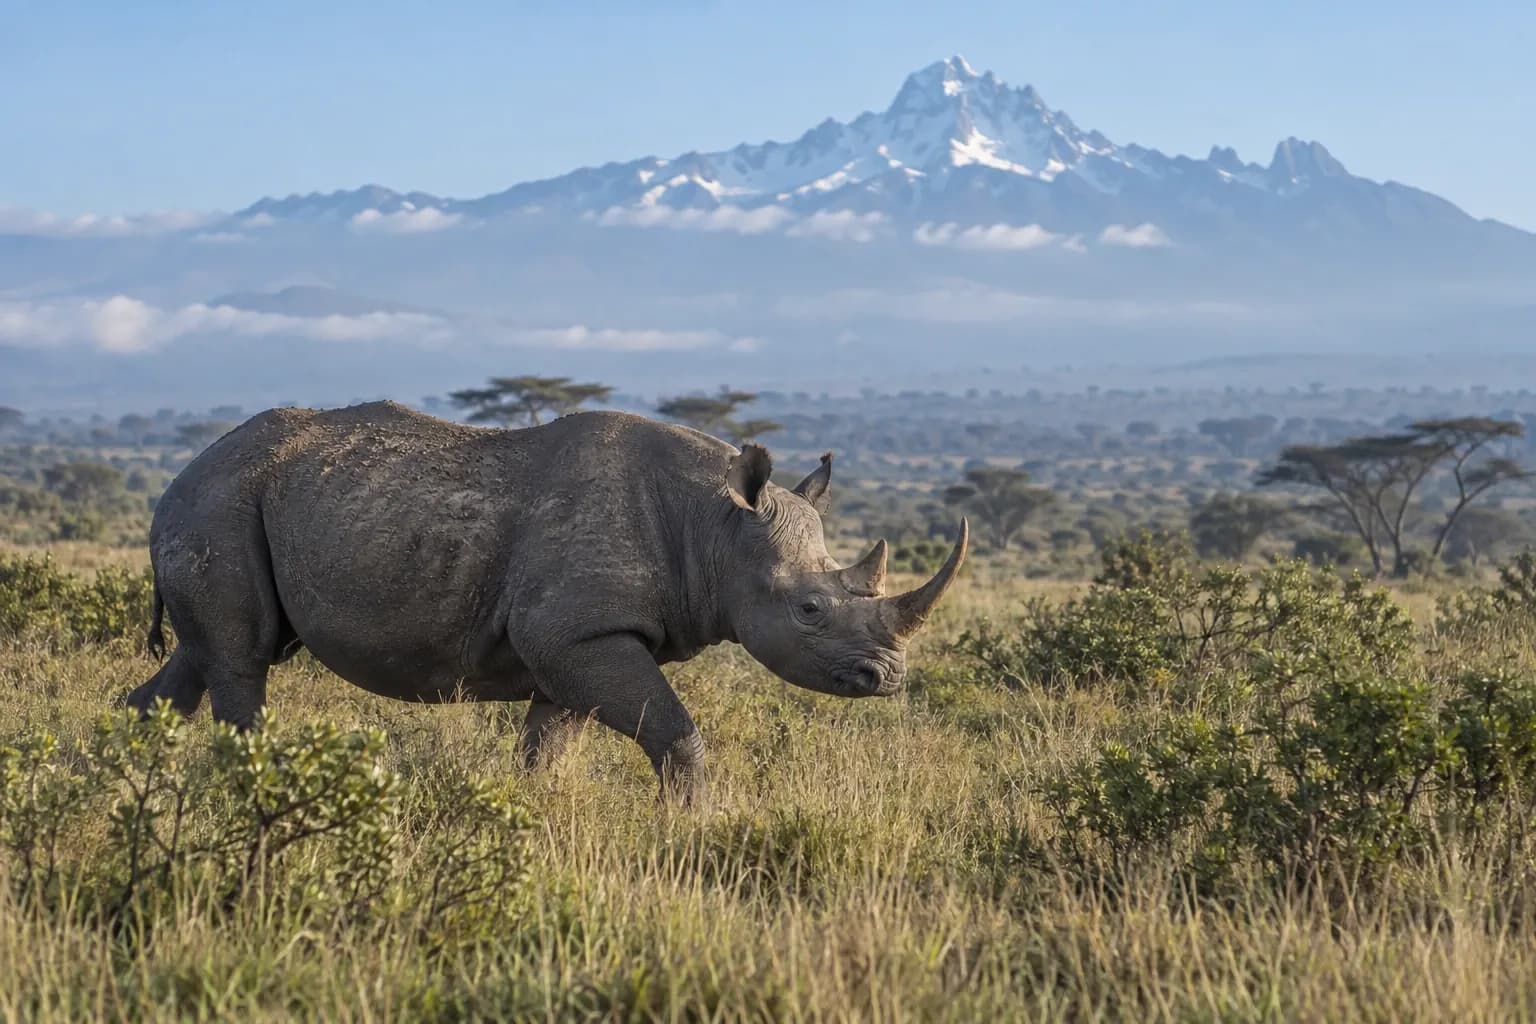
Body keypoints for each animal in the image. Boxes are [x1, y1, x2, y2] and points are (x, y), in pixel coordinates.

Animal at [124, 401, 968, 802]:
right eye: (809, 611)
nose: (888, 678)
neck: (718, 525)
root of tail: (179, 475)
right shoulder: (576, 633)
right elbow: (676, 734)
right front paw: (692, 828)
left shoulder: (576, 640)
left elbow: (547, 747)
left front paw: (532, 812)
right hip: (218, 504)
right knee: (241, 659)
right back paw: (248, 777)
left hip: (226, 505)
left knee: (204, 658)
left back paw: (123, 766)